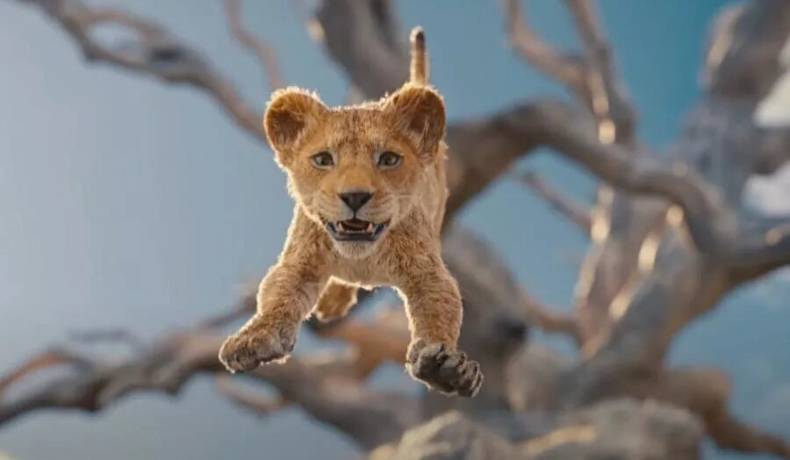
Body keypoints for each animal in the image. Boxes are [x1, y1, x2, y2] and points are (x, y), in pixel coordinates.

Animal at [218, 28, 483, 397]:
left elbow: (439, 310)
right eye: (323, 159)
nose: (355, 196)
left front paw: (445, 367)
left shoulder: (427, 271)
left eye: (388, 159)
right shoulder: (299, 262)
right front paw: (253, 339)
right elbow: (276, 297)